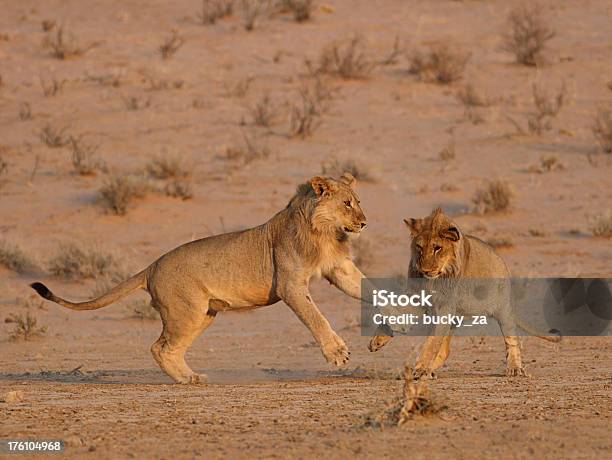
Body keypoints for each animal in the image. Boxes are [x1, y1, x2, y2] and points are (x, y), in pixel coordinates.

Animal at [31, 172, 368, 380]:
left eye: (359, 201)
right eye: (347, 203)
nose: (364, 223)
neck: (324, 233)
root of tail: (151, 266)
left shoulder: (339, 269)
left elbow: (364, 287)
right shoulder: (290, 285)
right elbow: (316, 317)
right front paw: (337, 353)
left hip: (202, 314)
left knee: (169, 347)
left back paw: (190, 377)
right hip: (187, 312)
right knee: (159, 347)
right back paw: (185, 379)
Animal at [366, 208, 560, 378]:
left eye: (437, 248)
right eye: (419, 247)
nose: (425, 270)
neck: (434, 279)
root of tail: (501, 260)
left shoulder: (445, 307)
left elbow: (431, 343)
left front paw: (420, 369)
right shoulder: (417, 297)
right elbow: (396, 314)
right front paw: (377, 340)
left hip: (502, 308)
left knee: (512, 339)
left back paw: (515, 369)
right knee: (445, 350)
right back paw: (431, 371)